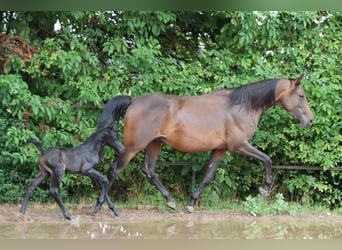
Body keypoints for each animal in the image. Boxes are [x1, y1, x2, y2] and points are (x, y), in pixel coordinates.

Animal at [94, 74, 312, 213]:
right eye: (301, 96)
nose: (310, 121)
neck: (241, 106)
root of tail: (133, 101)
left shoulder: (220, 149)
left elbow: (208, 176)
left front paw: (191, 203)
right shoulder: (239, 145)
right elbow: (267, 159)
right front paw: (264, 190)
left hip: (154, 144)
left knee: (149, 169)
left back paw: (170, 201)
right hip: (133, 147)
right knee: (113, 171)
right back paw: (102, 206)